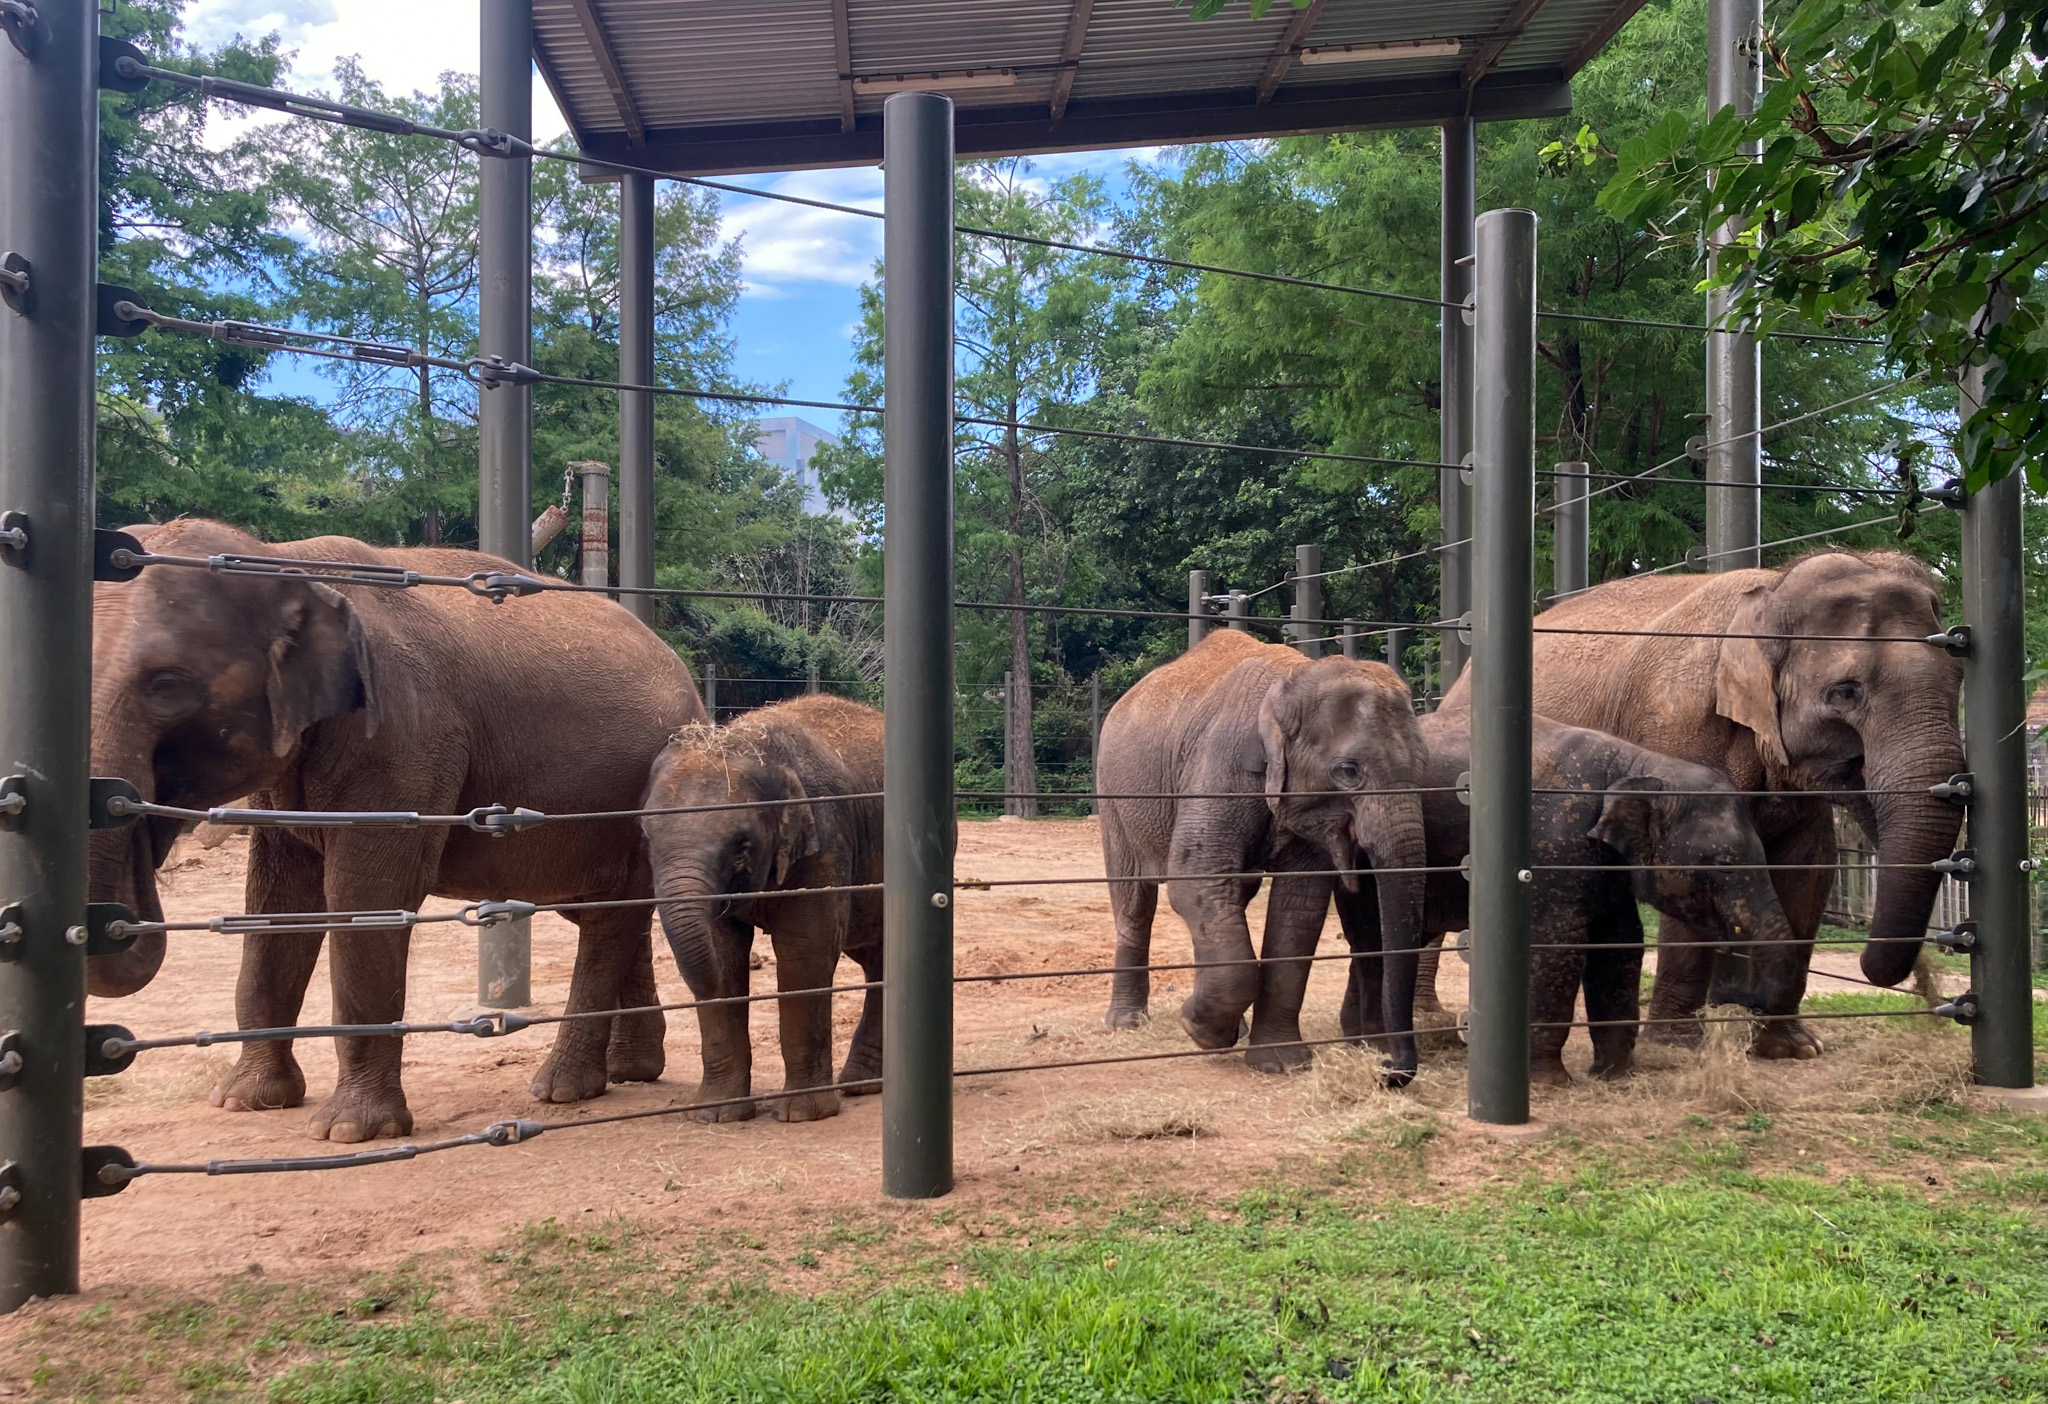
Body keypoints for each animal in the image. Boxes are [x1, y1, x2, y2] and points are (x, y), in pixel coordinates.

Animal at [90, 517, 704, 1146]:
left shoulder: (402, 737)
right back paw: (630, 1071)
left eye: (167, 686)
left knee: (607, 916)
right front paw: (246, 1101)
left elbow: (367, 897)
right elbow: (277, 902)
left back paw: (560, 1089)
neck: (280, 558)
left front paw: (351, 1131)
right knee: (606, 911)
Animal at [638, 699, 880, 1129]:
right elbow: (724, 952)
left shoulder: (826, 838)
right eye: (646, 836)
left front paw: (801, 1116)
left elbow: (805, 952)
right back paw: (862, 1082)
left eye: (742, 843)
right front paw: (716, 1114)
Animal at [1105, 634, 1425, 1080]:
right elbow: (1193, 878)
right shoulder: (1219, 766)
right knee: (1134, 901)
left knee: (1232, 897)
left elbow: (1300, 906)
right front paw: (1201, 1031)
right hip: (1114, 799)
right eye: (1348, 771)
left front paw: (1280, 1064)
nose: (1387, 1067)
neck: (1294, 680)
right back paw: (1127, 1023)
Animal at [1409, 716, 1810, 1088]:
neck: (1638, 765)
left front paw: (1617, 1076)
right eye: (1725, 865)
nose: (1733, 1000)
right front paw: (1549, 1082)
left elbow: (1620, 943)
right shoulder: (1556, 845)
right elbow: (1558, 946)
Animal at [1433, 548, 1957, 1056]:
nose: (1923, 984)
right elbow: (1690, 862)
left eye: (1956, 682)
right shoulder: (1678, 724)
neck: (1773, 589)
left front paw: (1789, 1047)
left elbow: (1810, 866)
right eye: (1845, 692)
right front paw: (1677, 1047)